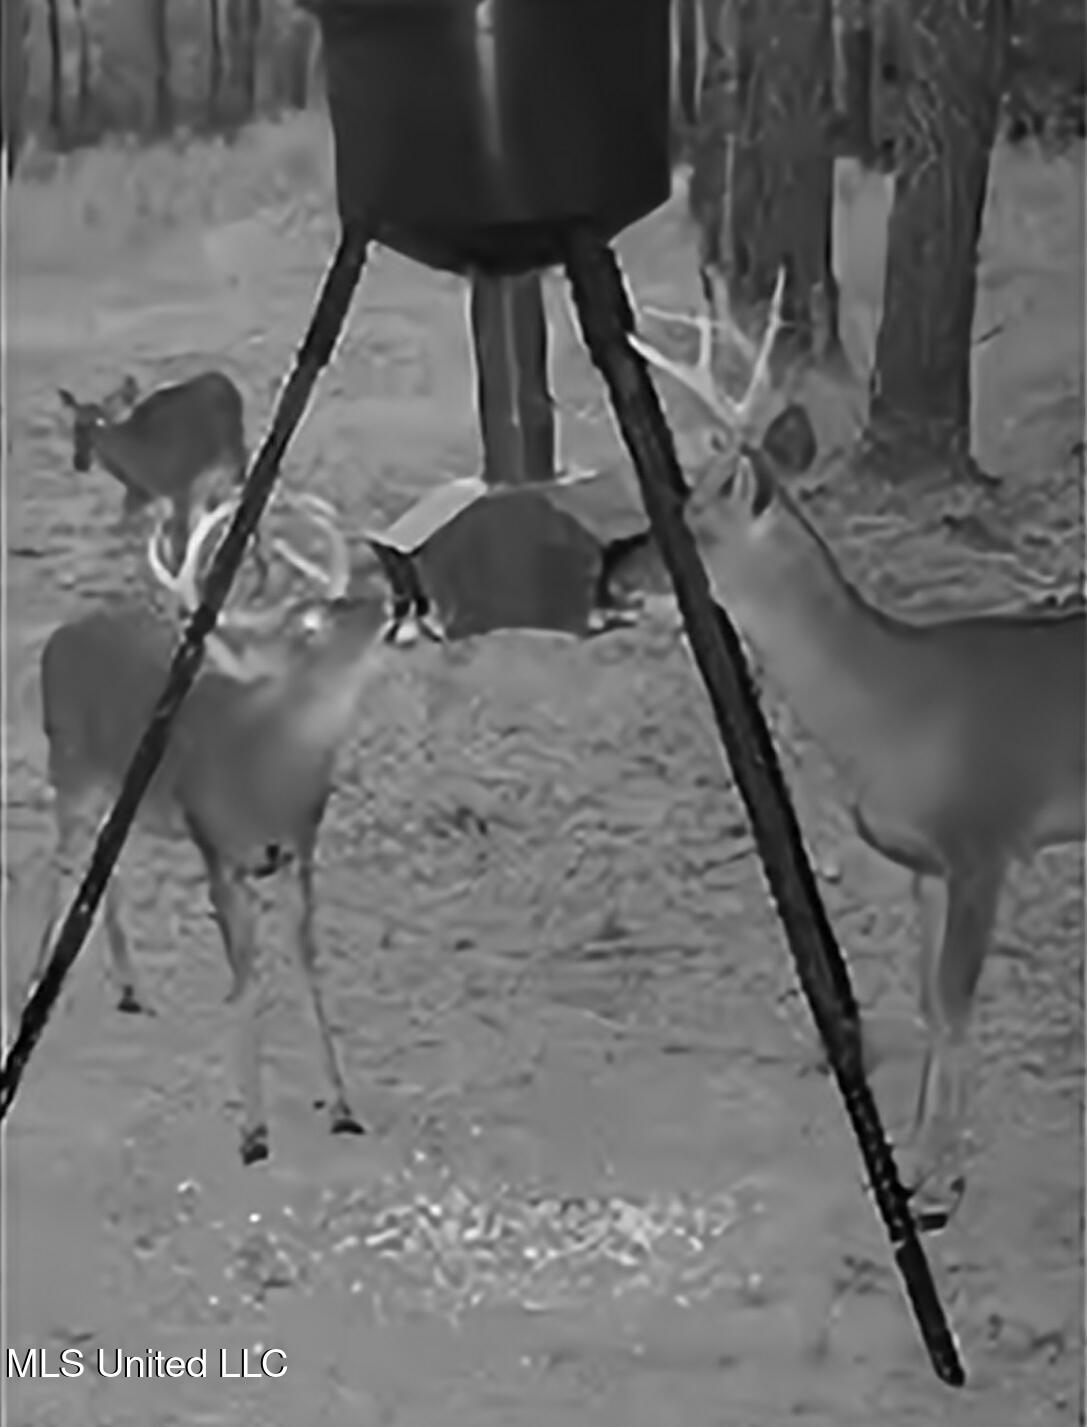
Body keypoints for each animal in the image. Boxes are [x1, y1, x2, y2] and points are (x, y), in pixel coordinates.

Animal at [26, 490, 416, 1165]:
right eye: (311, 625)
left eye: (357, 595)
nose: (400, 604)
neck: (264, 767)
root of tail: (60, 633)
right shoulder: (217, 851)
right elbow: (246, 979)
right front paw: (254, 1133)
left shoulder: (298, 853)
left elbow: (308, 967)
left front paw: (343, 1108)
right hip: (67, 763)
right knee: (63, 864)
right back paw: (36, 995)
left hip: (116, 786)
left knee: (106, 862)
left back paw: (131, 988)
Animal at [625, 270, 1086, 1231]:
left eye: (693, 523)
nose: (612, 572)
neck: (896, 710)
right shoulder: (927, 864)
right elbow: (928, 1005)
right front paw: (925, 1164)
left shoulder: (987, 837)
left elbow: (954, 1004)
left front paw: (934, 1186)